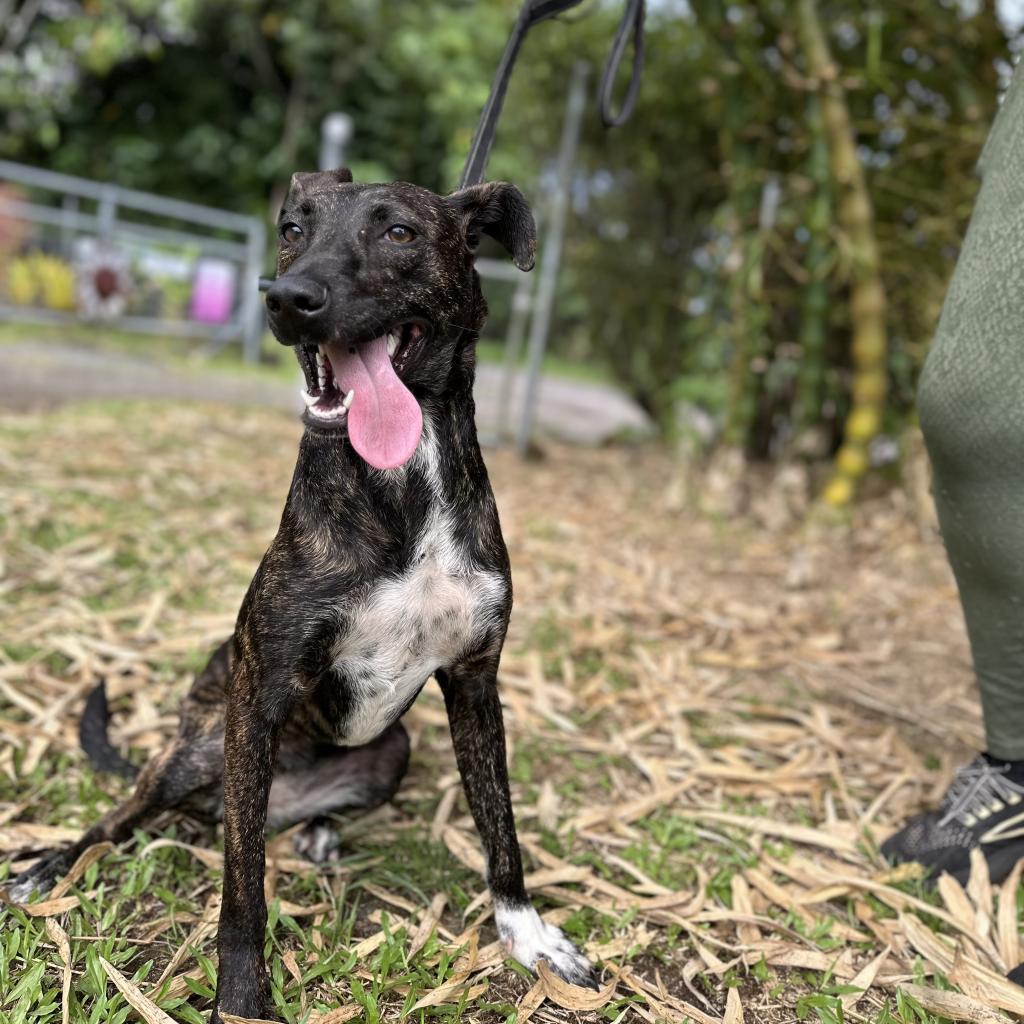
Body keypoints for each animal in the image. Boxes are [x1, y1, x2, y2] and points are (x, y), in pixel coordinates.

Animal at [6, 172, 598, 1019]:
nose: (287, 297)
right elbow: (242, 888)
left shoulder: (476, 682)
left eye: (398, 232)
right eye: (292, 229)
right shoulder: (257, 699)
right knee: (127, 814)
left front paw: (529, 936)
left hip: (391, 749)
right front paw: (240, 995)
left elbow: (501, 826)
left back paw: (317, 829)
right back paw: (52, 866)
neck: (404, 480)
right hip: (199, 750)